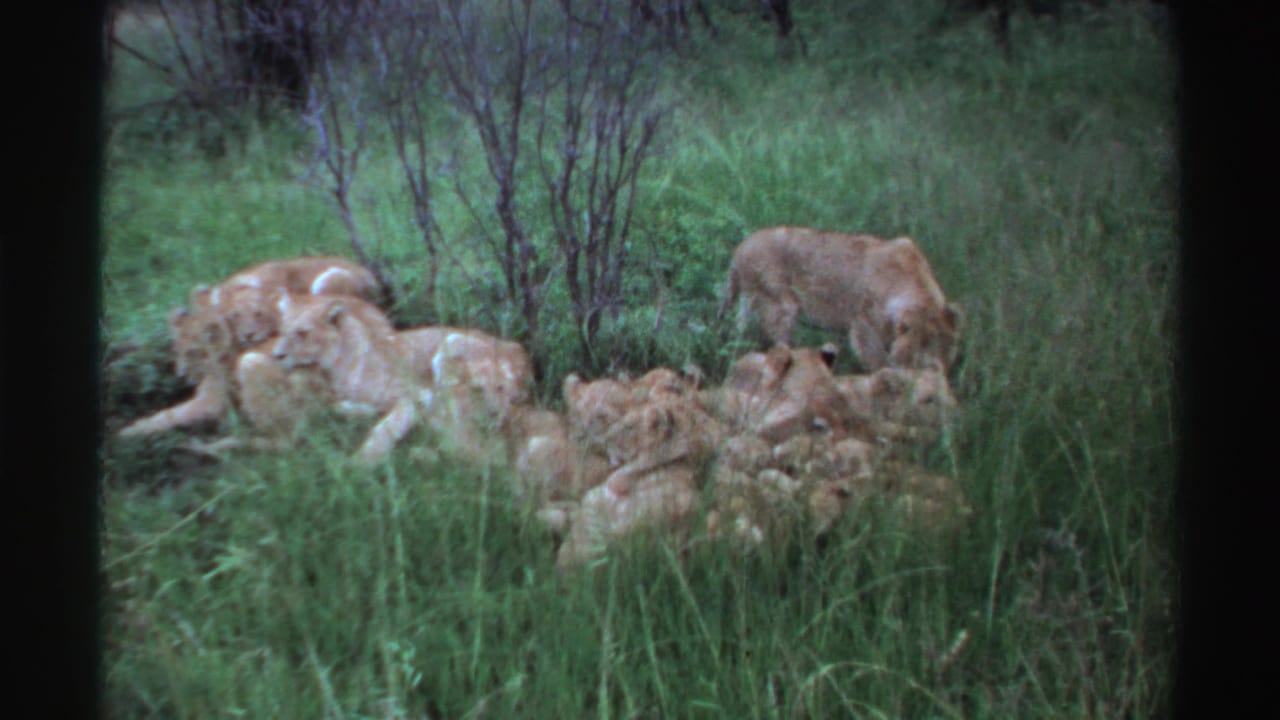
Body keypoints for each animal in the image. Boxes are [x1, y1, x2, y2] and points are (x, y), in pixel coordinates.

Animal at [720, 227, 964, 372]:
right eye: (919, 353)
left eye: (945, 352)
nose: (934, 372)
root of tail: (741, 248)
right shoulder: (864, 327)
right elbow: (878, 364)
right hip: (780, 308)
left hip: (749, 306)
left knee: (738, 337)